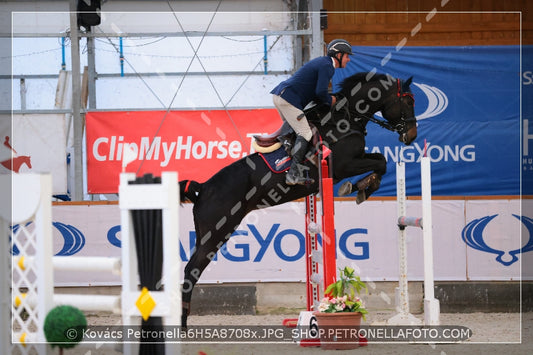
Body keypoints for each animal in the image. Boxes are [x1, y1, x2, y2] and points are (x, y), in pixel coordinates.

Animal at [178, 73, 416, 328]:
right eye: (408, 101)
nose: (412, 135)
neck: (345, 118)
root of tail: (203, 187)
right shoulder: (345, 165)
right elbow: (381, 162)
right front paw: (359, 187)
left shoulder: (355, 159)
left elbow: (380, 159)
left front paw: (364, 187)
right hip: (217, 232)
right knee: (192, 269)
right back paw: (182, 322)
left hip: (206, 234)